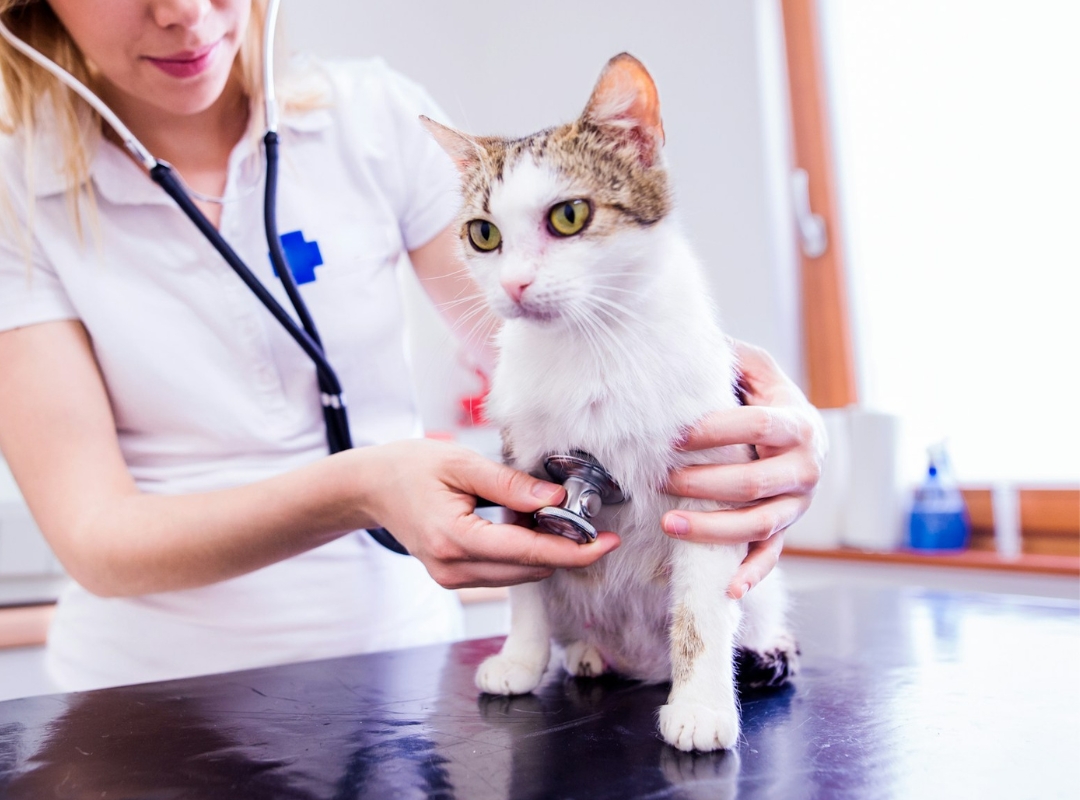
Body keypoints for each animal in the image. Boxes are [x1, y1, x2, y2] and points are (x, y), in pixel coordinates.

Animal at [419, 54, 794, 747]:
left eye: (568, 216)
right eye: (483, 234)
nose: (514, 284)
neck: (589, 344)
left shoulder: (712, 485)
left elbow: (702, 608)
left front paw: (700, 707)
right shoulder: (522, 459)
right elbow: (527, 583)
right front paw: (520, 657)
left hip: (763, 590)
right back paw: (587, 654)